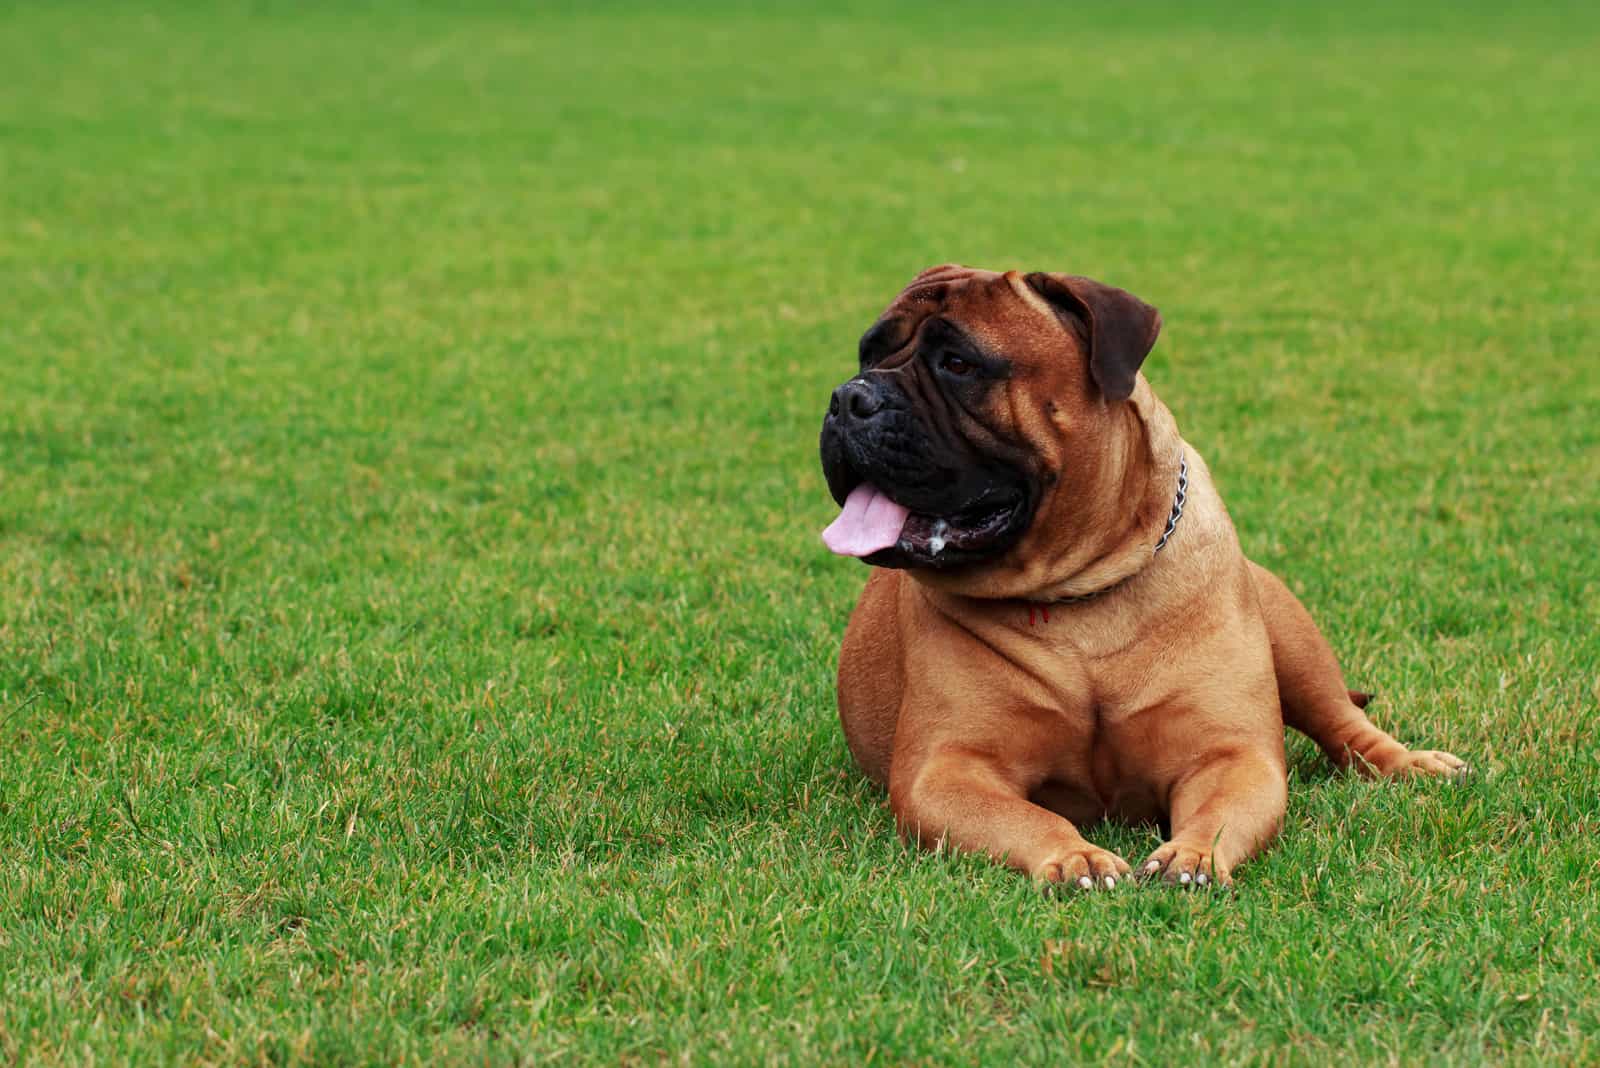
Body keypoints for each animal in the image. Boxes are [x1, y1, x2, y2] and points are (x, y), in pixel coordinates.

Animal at [825, 265, 1465, 882]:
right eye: (866, 356)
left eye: (958, 363)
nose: (847, 398)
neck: (1080, 595)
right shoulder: (946, 771)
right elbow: (1027, 816)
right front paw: (1076, 858)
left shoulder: (1229, 755)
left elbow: (1219, 810)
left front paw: (1194, 856)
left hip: (1292, 635)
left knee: (1346, 723)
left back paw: (1413, 763)